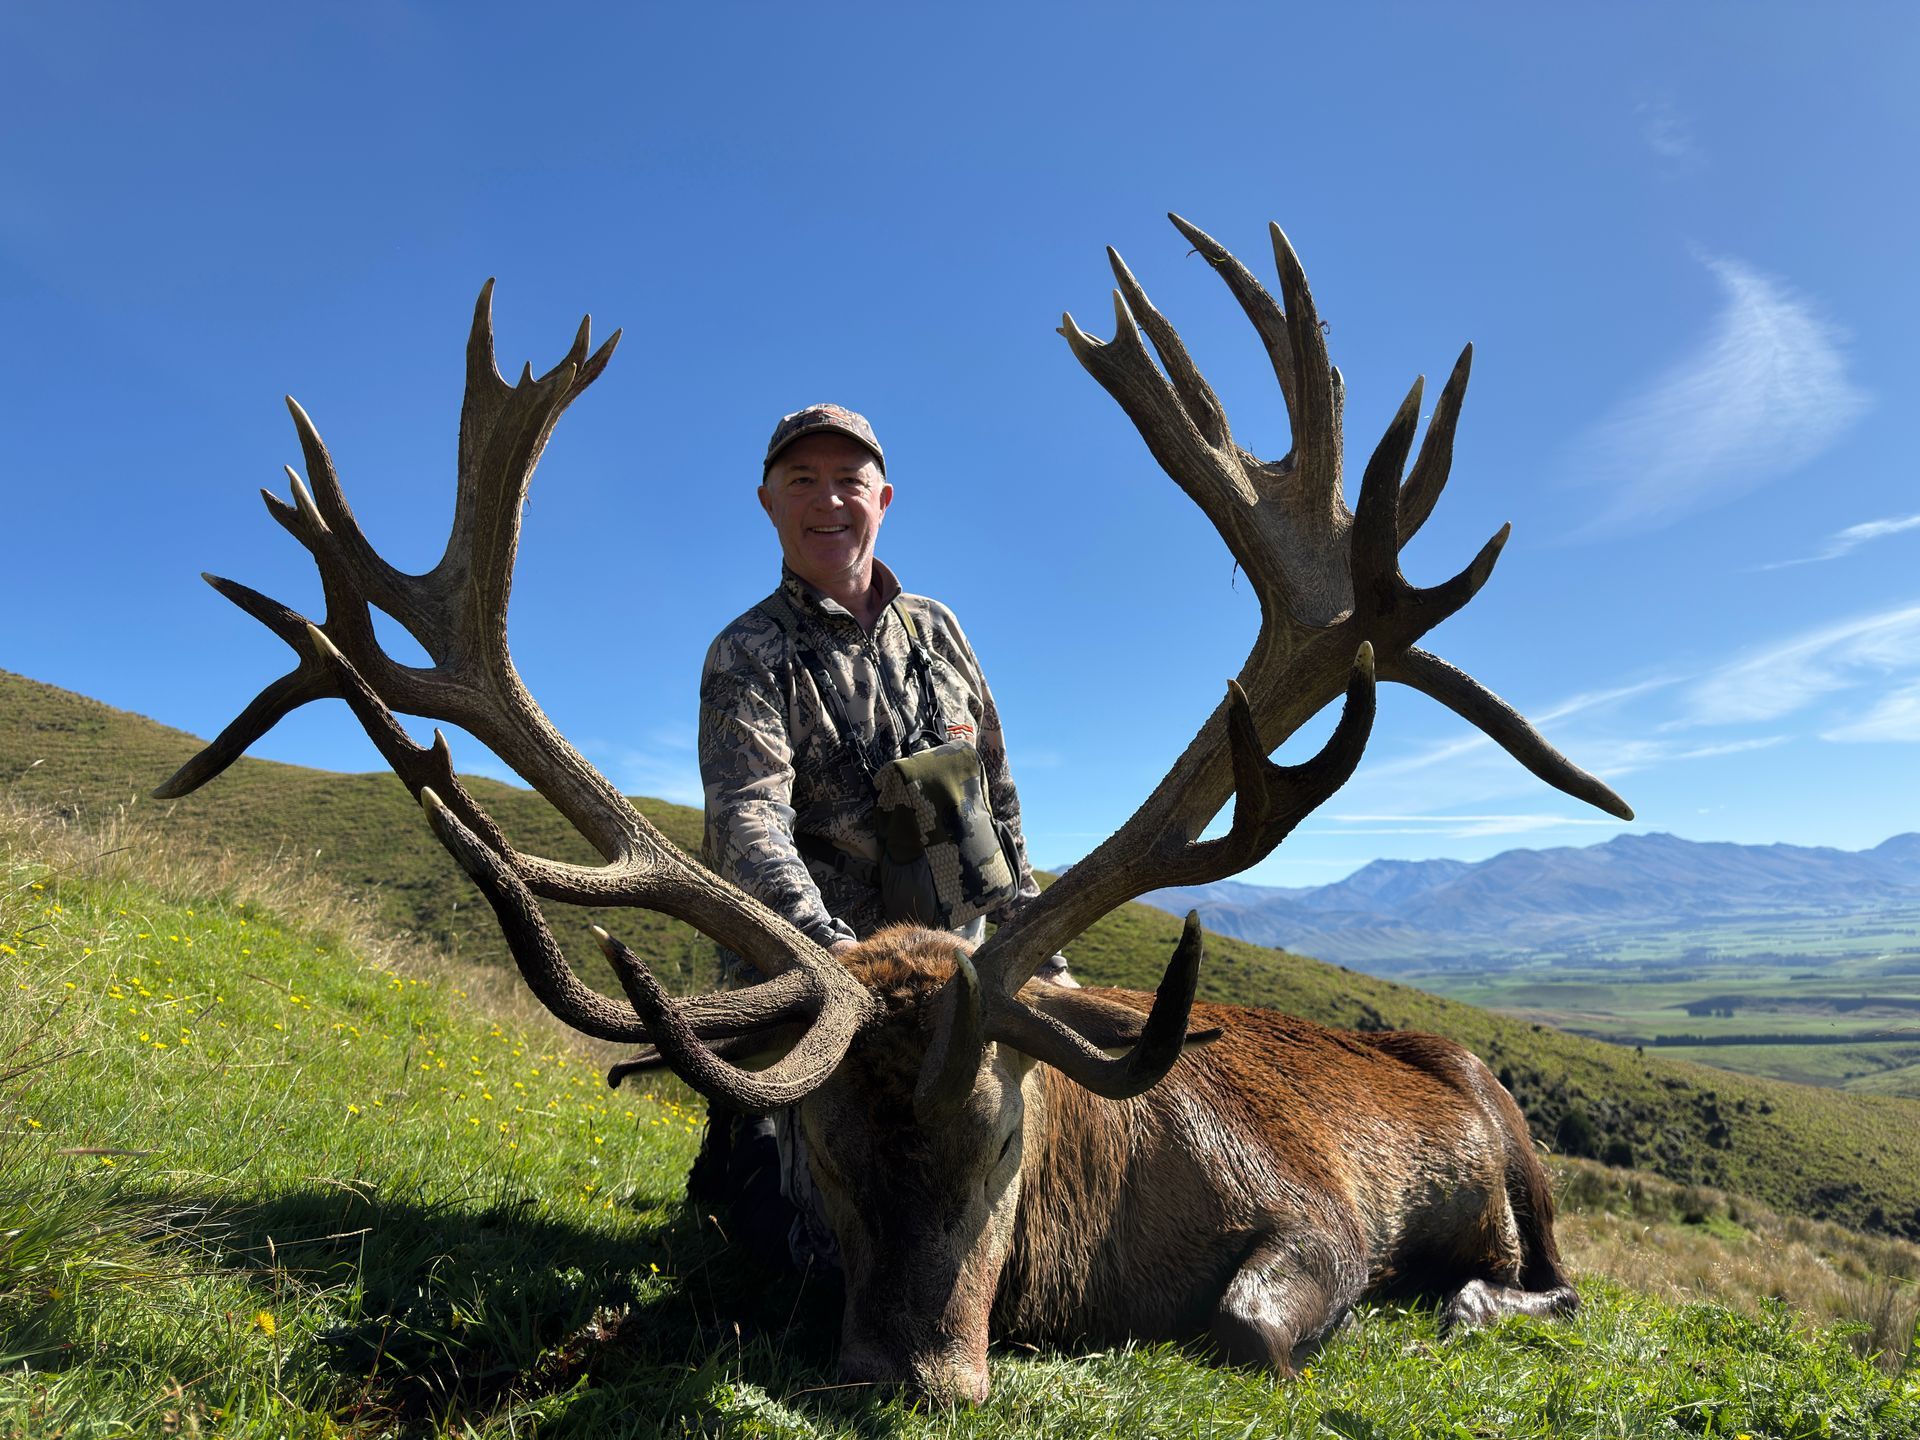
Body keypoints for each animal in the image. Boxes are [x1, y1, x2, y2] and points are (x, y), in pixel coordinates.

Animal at [158, 215, 1631, 1405]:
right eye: (819, 1152)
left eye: (1007, 1141)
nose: (911, 1376)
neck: (1088, 1252)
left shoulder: (1312, 1204)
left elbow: (1248, 1329)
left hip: (1509, 1131)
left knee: (1556, 1271)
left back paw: (1472, 1296)